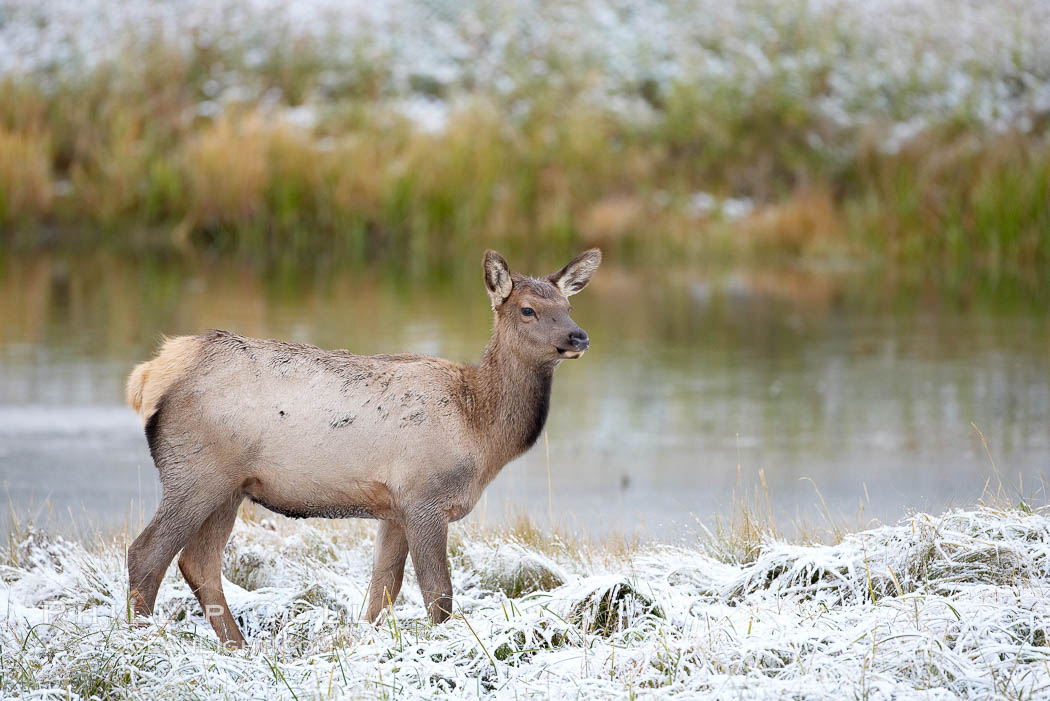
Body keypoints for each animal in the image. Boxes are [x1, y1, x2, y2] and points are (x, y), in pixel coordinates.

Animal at [122, 248, 600, 650]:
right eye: (527, 309)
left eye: (568, 307)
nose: (579, 337)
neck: (481, 433)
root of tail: (149, 374)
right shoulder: (424, 496)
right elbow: (438, 594)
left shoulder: (394, 508)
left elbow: (383, 589)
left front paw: (362, 643)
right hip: (195, 472)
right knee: (146, 554)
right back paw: (141, 641)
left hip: (229, 487)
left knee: (199, 563)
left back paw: (237, 646)